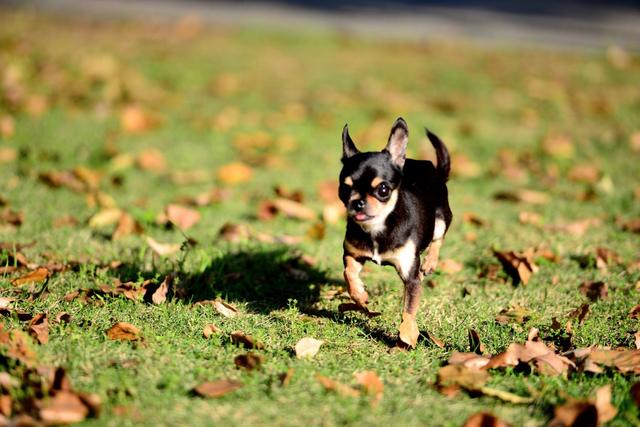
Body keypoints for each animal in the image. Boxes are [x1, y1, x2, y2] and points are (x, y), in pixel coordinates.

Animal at [340, 117, 450, 348]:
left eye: (383, 190)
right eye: (344, 189)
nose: (358, 202)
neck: (377, 227)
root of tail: (434, 169)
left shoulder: (411, 279)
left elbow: (408, 311)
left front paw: (406, 338)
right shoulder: (353, 254)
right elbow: (349, 273)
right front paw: (360, 295)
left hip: (441, 220)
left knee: (438, 239)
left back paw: (430, 263)